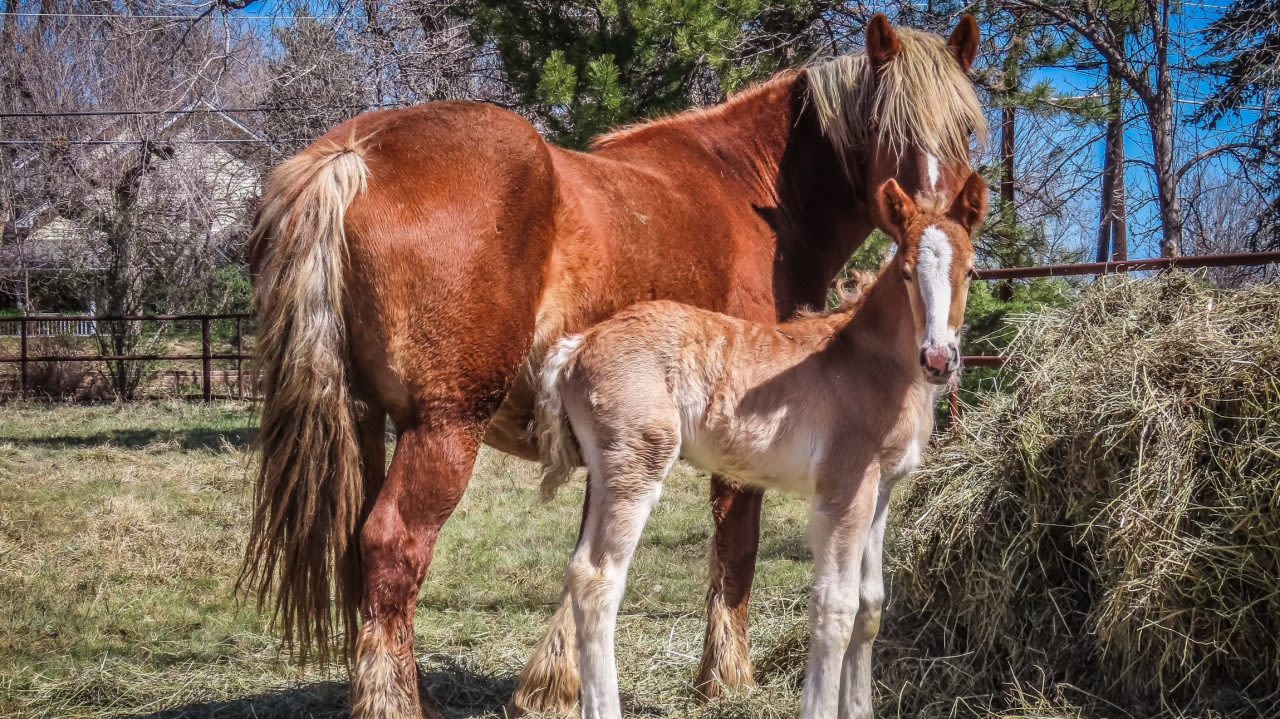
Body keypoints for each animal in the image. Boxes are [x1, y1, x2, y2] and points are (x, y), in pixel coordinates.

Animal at [238, 12, 977, 716]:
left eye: (967, 127)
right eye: (888, 125)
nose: (931, 215)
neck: (751, 189)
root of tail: (351, 155)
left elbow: (591, 558)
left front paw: (552, 683)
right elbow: (735, 546)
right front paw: (723, 677)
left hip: (364, 420)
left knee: (361, 555)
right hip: (445, 426)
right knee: (394, 546)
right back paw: (397, 705)